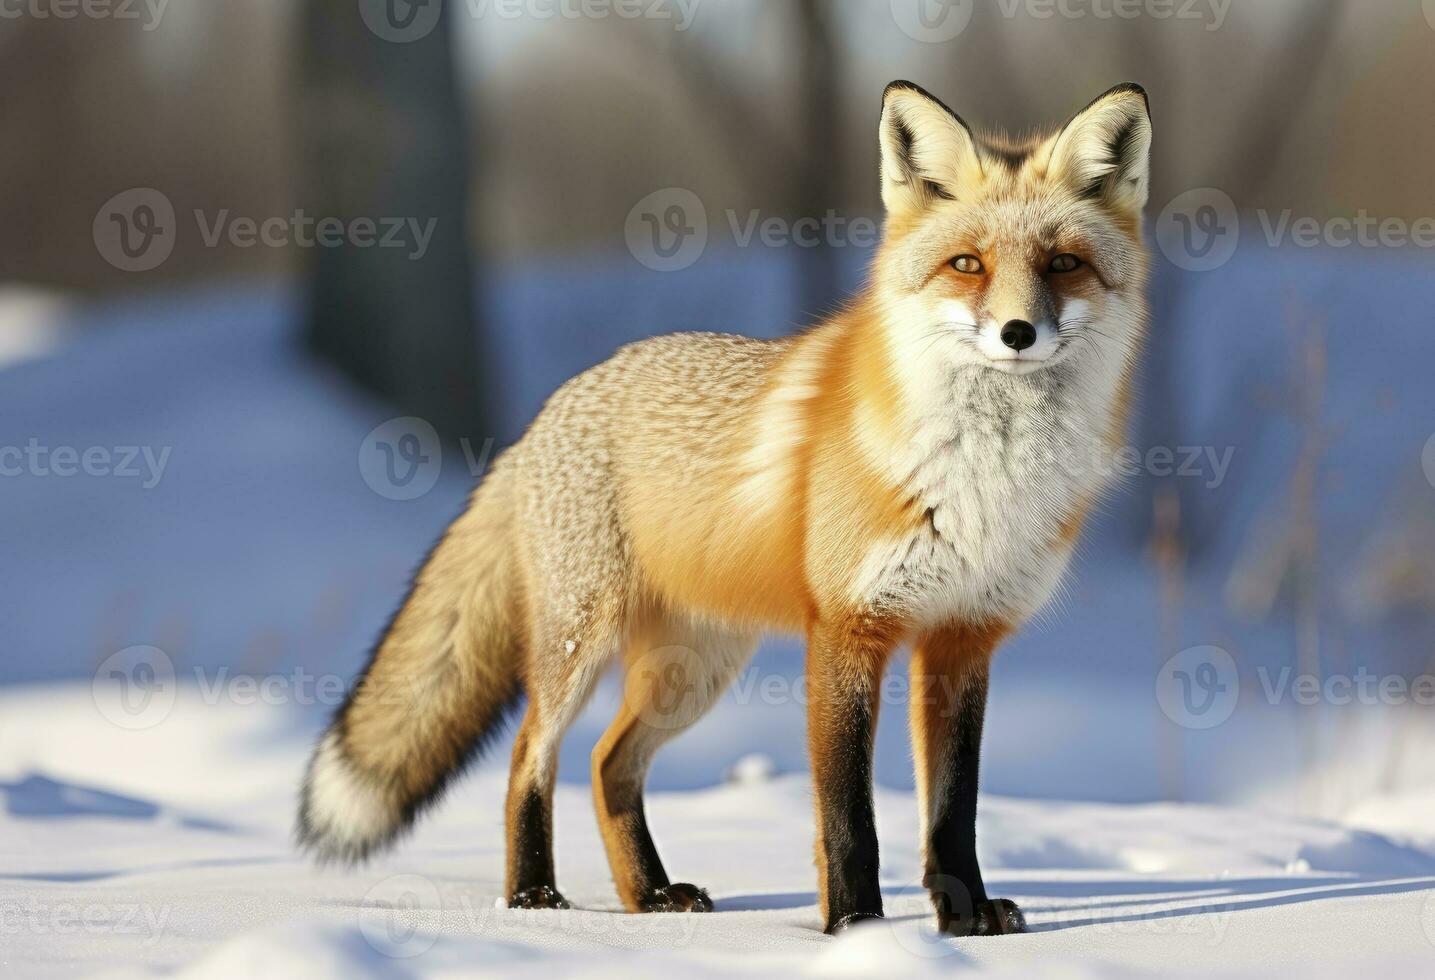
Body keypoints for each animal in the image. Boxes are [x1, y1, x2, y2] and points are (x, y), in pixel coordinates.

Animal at [297, 80, 1148, 941]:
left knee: (609, 764)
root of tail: (550, 410)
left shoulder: (963, 637)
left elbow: (953, 807)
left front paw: (964, 919)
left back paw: (648, 897)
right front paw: (857, 929)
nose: (1017, 332)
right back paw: (535, 899)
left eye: (1063, 264)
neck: (983, 482)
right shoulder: (849, 629)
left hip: (693, 672)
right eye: (966, 264)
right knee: (529, 755)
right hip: (583, 641)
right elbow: (848, 815)